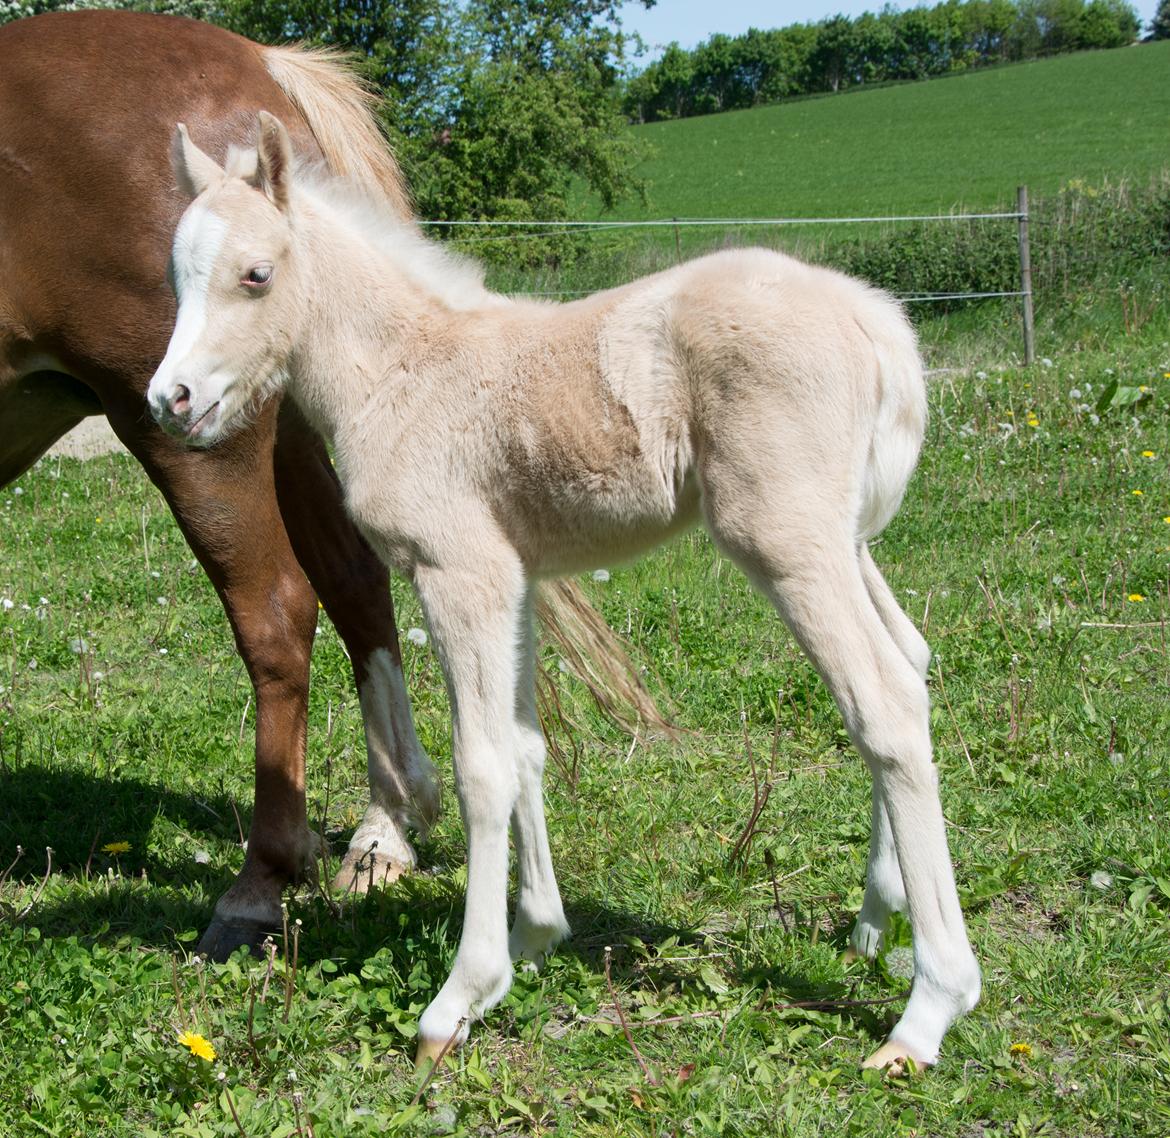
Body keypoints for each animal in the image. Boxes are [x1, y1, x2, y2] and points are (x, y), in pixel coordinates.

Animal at [147, 112, 982, 1071]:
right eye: (175, 275)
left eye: (257, 274)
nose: (171, 399)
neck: (400, 370)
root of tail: (869, 314)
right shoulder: (515, 578)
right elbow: (526, 749)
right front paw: (533, 940)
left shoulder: (460, 573)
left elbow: (482, 767)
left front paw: (458, 999)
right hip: (840, 539)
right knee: (909, 660)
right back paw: (877, 918)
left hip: (784, 540)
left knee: (882, 703)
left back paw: (929, 1011)